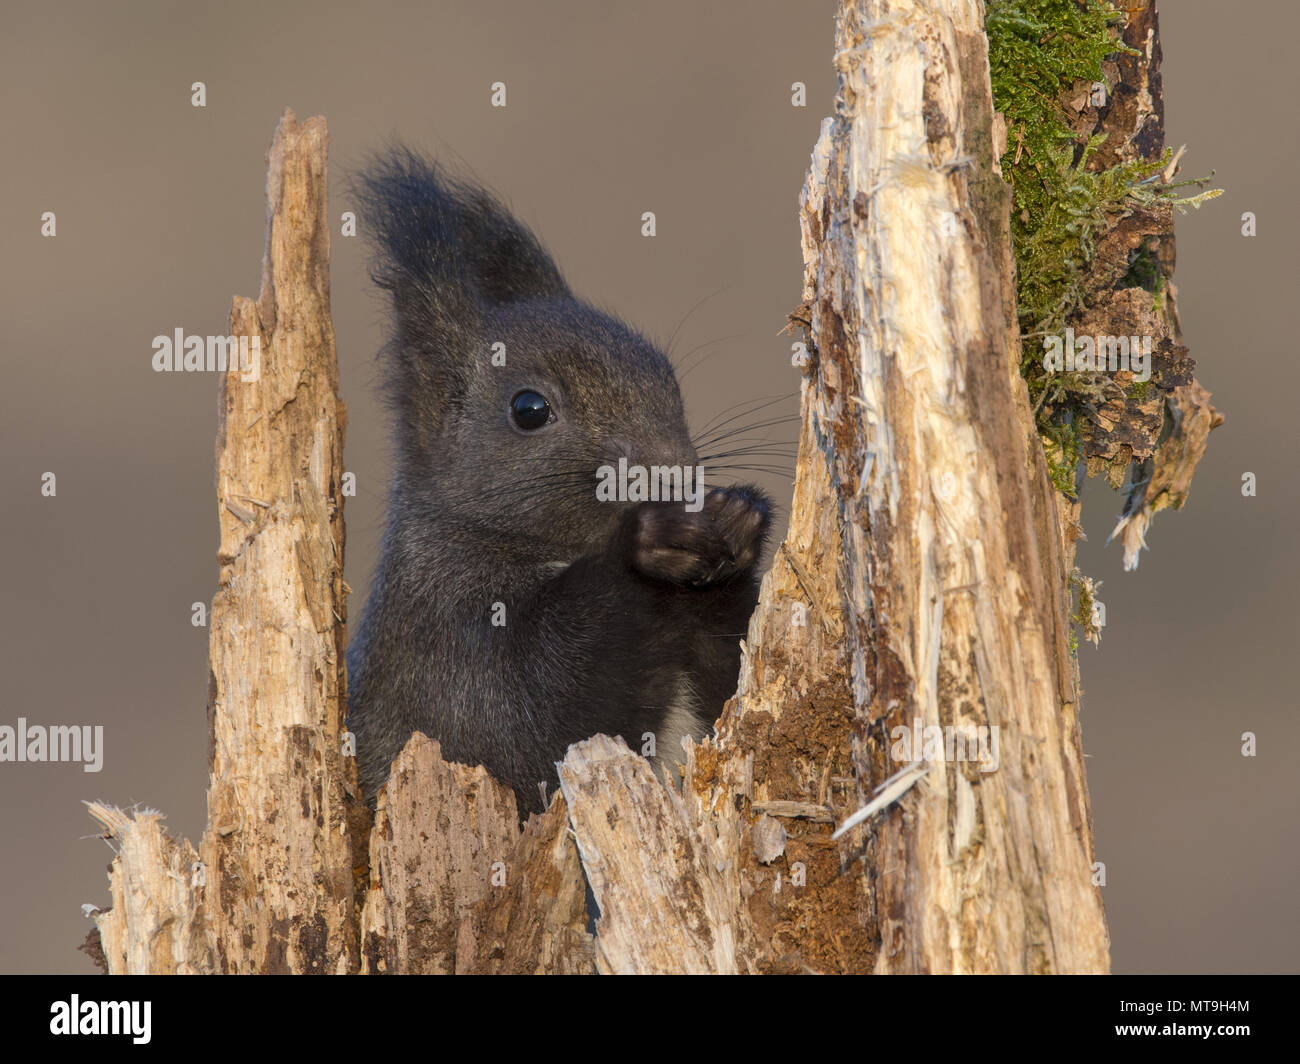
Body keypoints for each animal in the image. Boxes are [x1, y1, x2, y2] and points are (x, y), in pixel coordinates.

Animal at [345, 149, 769, 811]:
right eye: (529, 409)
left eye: (666, 375)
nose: (673, 472)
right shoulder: (448, 660)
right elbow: (538, 724)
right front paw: (648, 543)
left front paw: (739, 519)